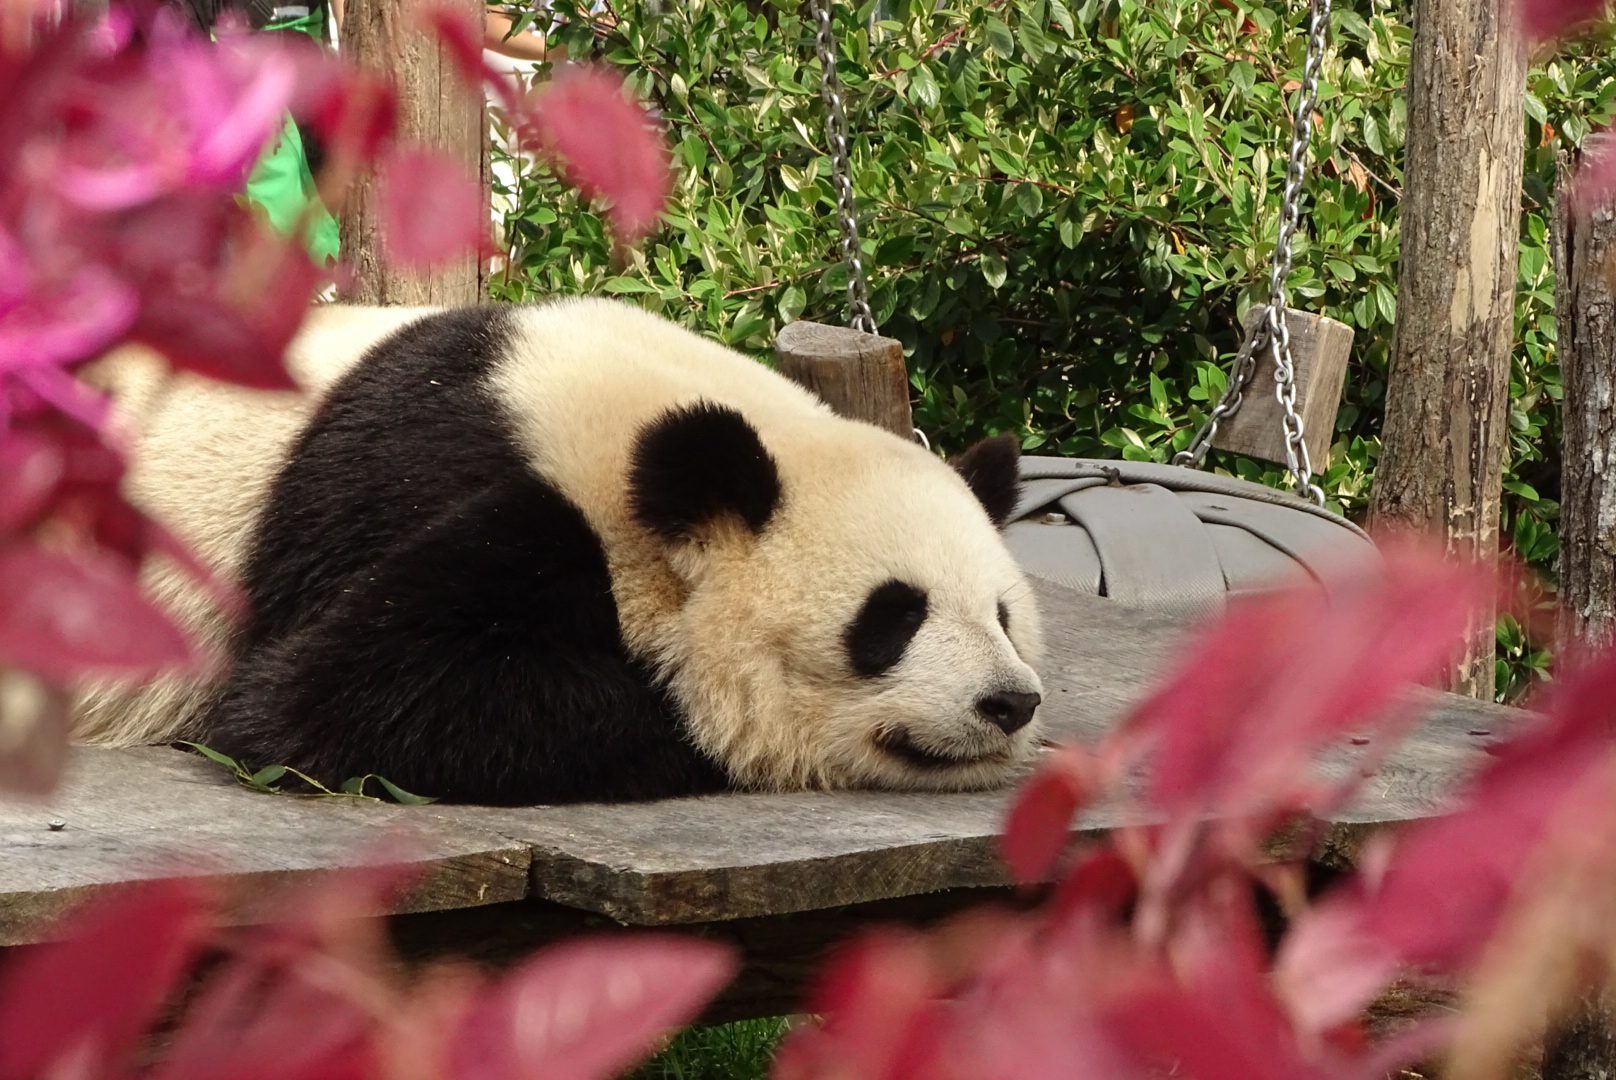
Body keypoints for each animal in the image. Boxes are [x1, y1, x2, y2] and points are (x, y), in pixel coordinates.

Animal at [72, 299, 1047, 805]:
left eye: (1004, 617)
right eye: (894, 615)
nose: (1011, 702)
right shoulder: (454, 485)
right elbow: (320, 702)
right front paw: (704, 728)